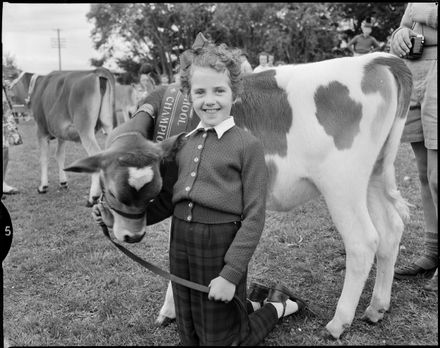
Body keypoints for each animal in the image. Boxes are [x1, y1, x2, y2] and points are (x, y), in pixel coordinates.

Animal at [64, 53, 412, 338]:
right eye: (112, 188)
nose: (131, 236)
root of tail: (378, 60)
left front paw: (169, 310)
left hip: (342, 184)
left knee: (363, 242)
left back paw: (339, 323)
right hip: (374, 175)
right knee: (391, 231)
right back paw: (377, 307)